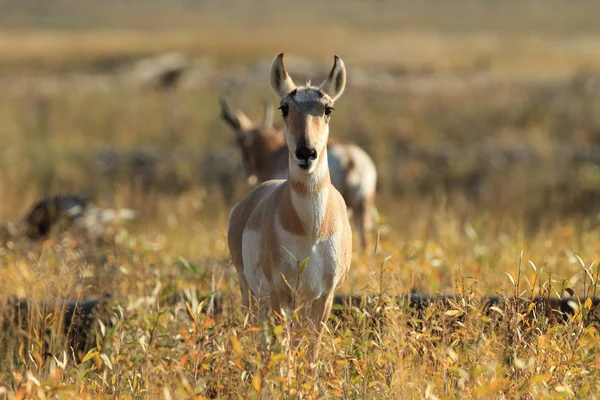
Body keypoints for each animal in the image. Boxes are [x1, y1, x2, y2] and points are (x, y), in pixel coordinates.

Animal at [229, 54, 352, 360]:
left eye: (328, 108)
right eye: (284, 107)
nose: (306, 152)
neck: (311, 230)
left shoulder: (324, 297)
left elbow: (311, 352)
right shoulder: (280, 295)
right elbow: (282, 350)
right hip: (251, 293)